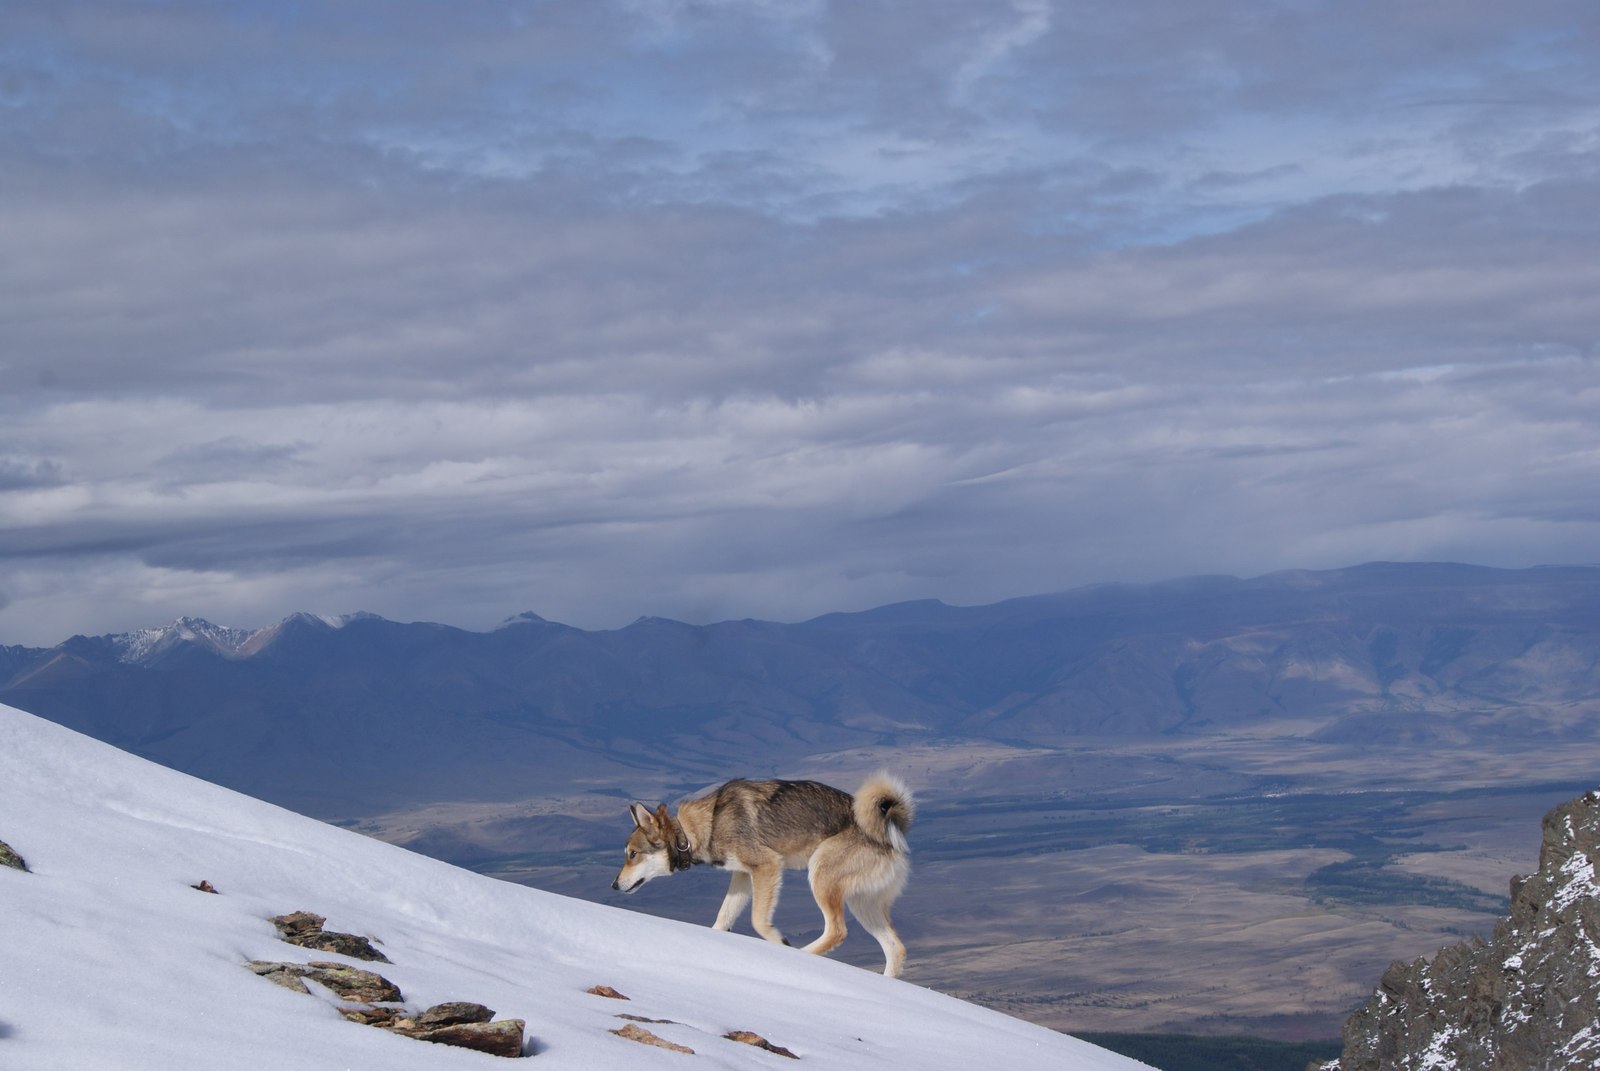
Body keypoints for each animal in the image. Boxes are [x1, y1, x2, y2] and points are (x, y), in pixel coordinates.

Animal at [608, 768, 915, 979]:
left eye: (632, 854)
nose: (613, 885)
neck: (698, 828)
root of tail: (890, 835)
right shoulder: (743, 877)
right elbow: (722, 920)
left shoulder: (766, 866)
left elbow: (758, 921)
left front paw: (780, 942)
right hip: (861, 904)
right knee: (895, 948)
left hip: (820, 876)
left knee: (837, 931)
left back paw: (802, 956)